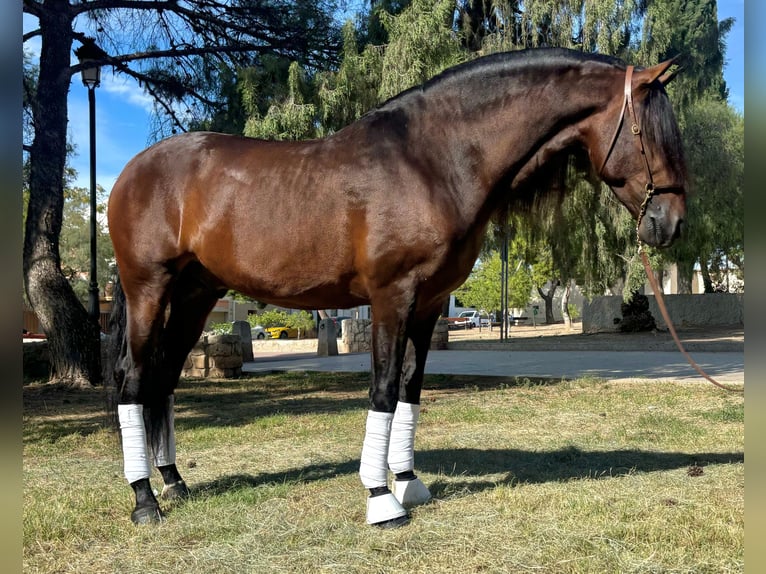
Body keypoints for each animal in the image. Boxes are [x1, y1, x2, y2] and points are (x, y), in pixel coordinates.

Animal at [105, 47, 688, 528]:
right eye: (650, 134)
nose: (671, 224)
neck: (431, 160)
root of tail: (132, 171)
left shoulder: (429, 304)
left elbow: (410, 388)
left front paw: (408, 483)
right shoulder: (392, 297)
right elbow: (383, 389)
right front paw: (381, 499)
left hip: (197, 296)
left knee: (163, 381)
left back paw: (175, 483)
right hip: (149, 289)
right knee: (133, 381)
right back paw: (145, 501)